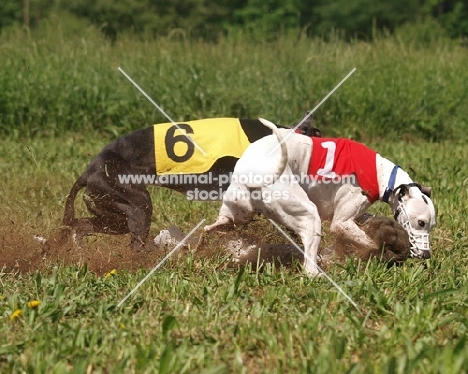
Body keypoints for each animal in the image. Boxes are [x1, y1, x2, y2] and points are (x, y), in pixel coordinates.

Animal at [207, 118, 436, 276]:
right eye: (421, 222)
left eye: (431, 225)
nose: (427, 255)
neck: (382, 174)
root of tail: (255, 174)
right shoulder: (342, 222)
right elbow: (369, 242)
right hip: (309, 217)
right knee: (309, 266)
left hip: (238, 211)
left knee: (221, 223)